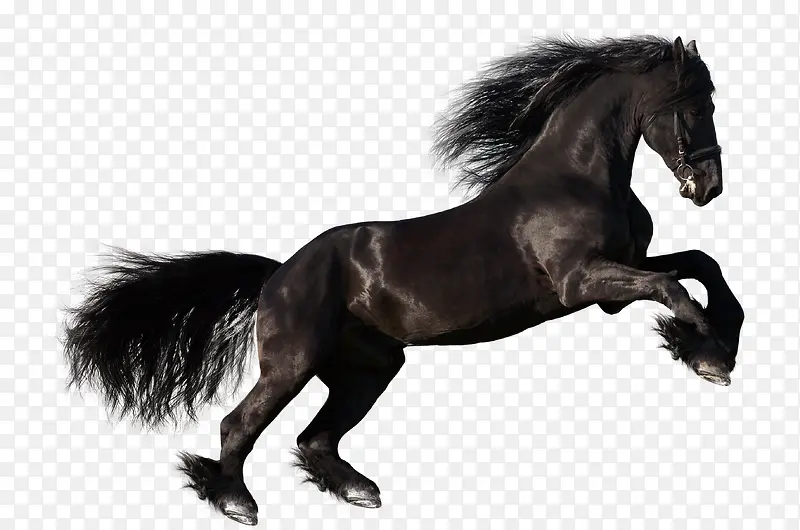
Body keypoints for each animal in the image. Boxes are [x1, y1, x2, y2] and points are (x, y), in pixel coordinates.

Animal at [63, 36, 745, 525]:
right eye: (694, 108)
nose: (708, 187)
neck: (576, 178)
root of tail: (277, 275)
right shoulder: (582, 285)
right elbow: (675, 287)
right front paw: (709, 356)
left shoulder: (614, 286)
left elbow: (699, 266)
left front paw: (714, 343)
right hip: (293, 363)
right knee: (242, 424)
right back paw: (236, 503)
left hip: (370, 366)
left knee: (316, 439)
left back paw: (358, 492)